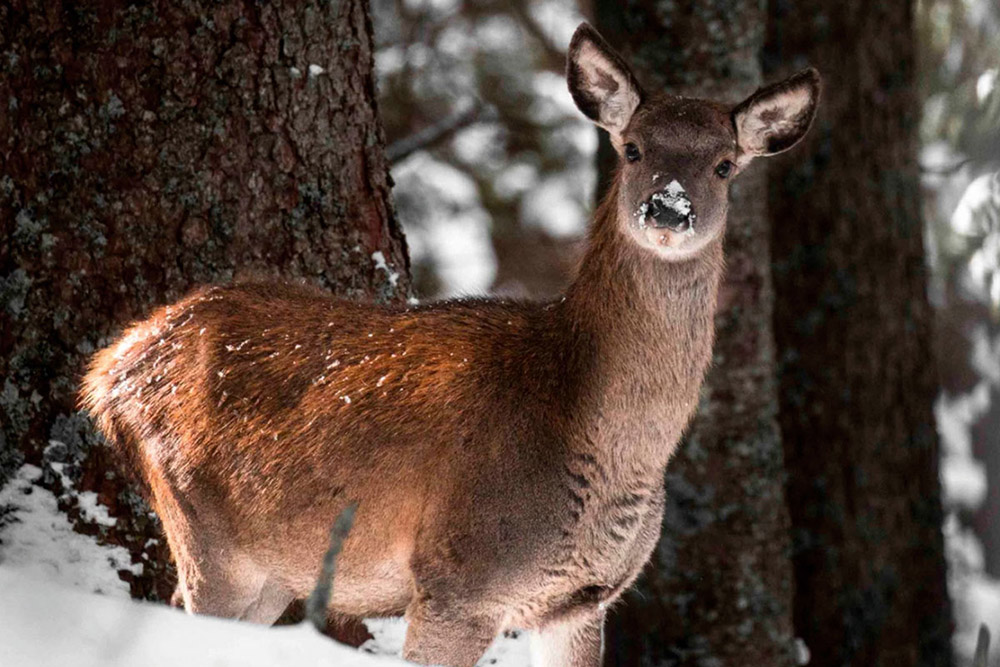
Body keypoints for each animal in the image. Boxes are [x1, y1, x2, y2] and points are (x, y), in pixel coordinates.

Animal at [80, 22, 820, 667]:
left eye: (724, 165)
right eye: (633, 148)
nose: (668, 208)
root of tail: (110, 368)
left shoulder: (581, 602)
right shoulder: (458, 579)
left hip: (263, 569)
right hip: (201, 522)